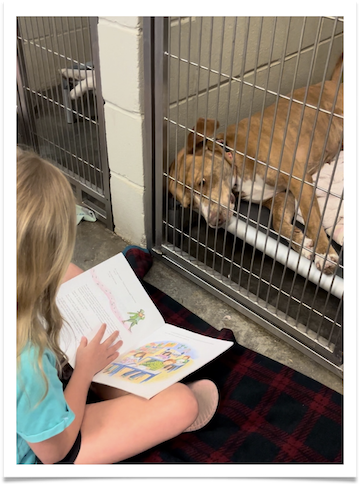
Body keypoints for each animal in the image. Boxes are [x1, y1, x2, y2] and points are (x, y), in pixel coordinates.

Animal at [169, 54, 344, 274]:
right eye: (189, 205)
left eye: (201, 182)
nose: (214, 222)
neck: (233, 154)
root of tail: (333, 83)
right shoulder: (280, 196)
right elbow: (278, 223)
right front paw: (303, 244)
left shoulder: (299, 181)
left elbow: (313, 220)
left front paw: (324, 253)